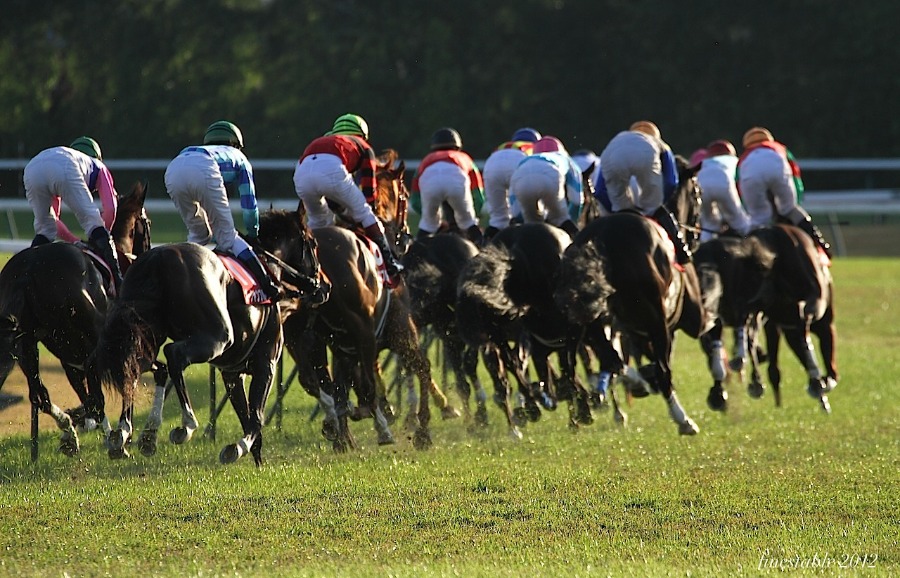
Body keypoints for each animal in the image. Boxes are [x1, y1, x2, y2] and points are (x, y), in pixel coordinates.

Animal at [91, 214, 322, 466]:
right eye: (313, 245)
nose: (324, 286)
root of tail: (157, 258)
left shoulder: (232, 372)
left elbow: (246, 414)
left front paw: (257, 459)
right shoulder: (265, 364)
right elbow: (256, 417)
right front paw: (238, 448)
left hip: (141, 334)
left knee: (136, 368)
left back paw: (133, 434)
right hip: (218, 337)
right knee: (173, 355)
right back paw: (186, 425)